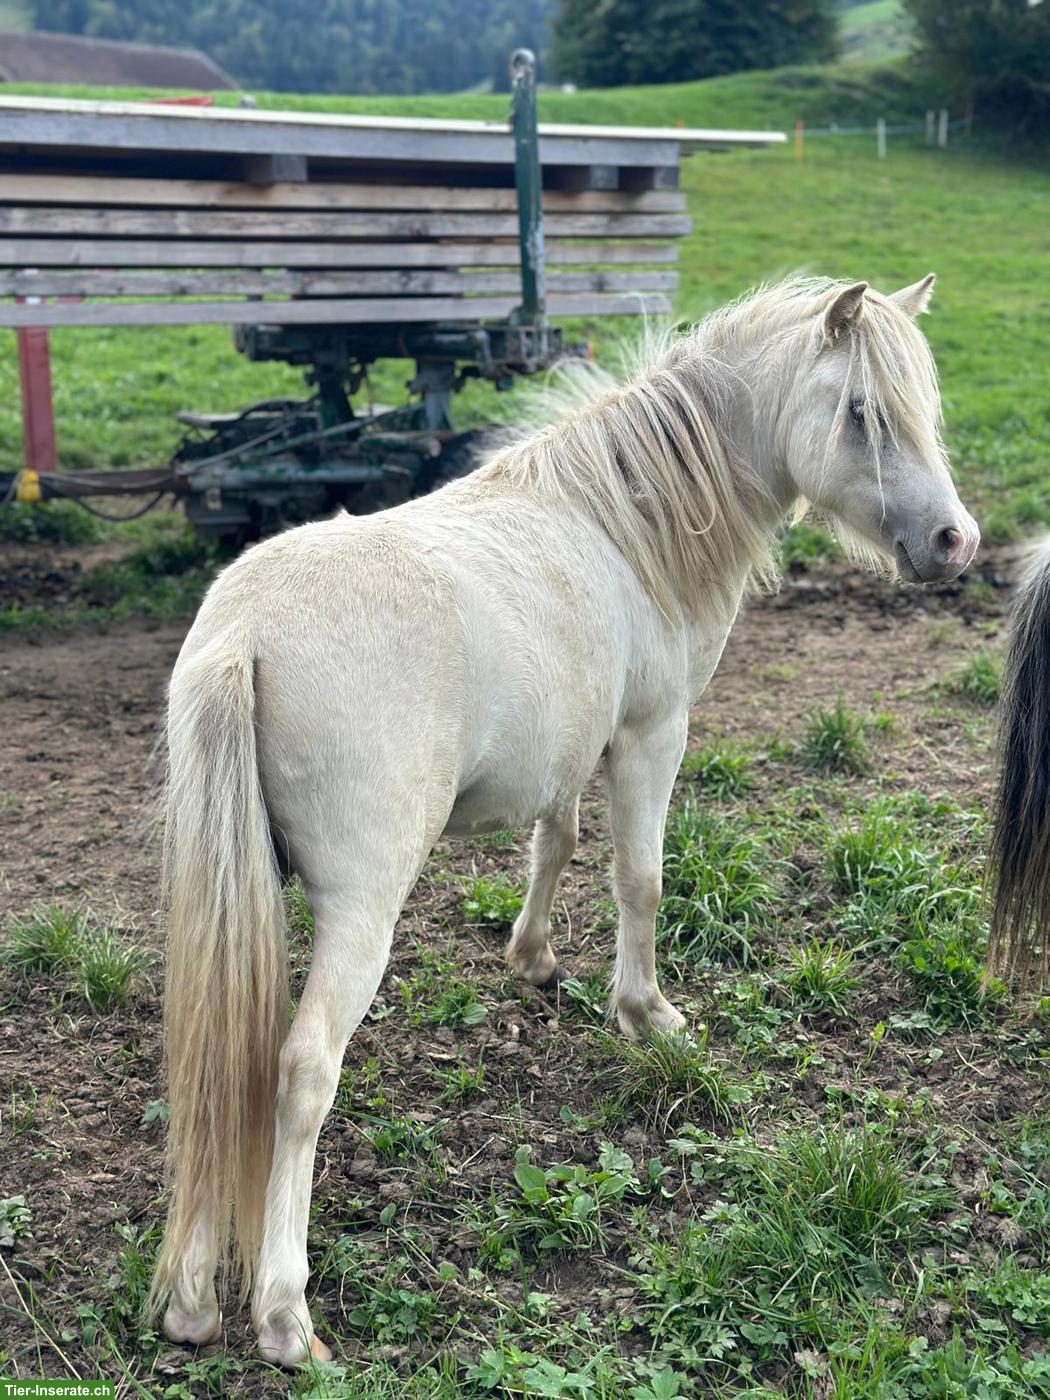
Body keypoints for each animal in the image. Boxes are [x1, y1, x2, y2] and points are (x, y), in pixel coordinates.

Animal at [148, 274, 979, 1365]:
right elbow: (639, 879)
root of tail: (242, 634)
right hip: (362, 913)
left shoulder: (573, 745)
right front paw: (648, 1014)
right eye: (861, 413)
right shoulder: (652, 734)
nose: (956, 543)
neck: (623, 523)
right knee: (298, 1070)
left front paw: (535, 959)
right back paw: (284, 1316)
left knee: (218, 1066)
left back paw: (193, 1299)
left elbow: (558, 842)